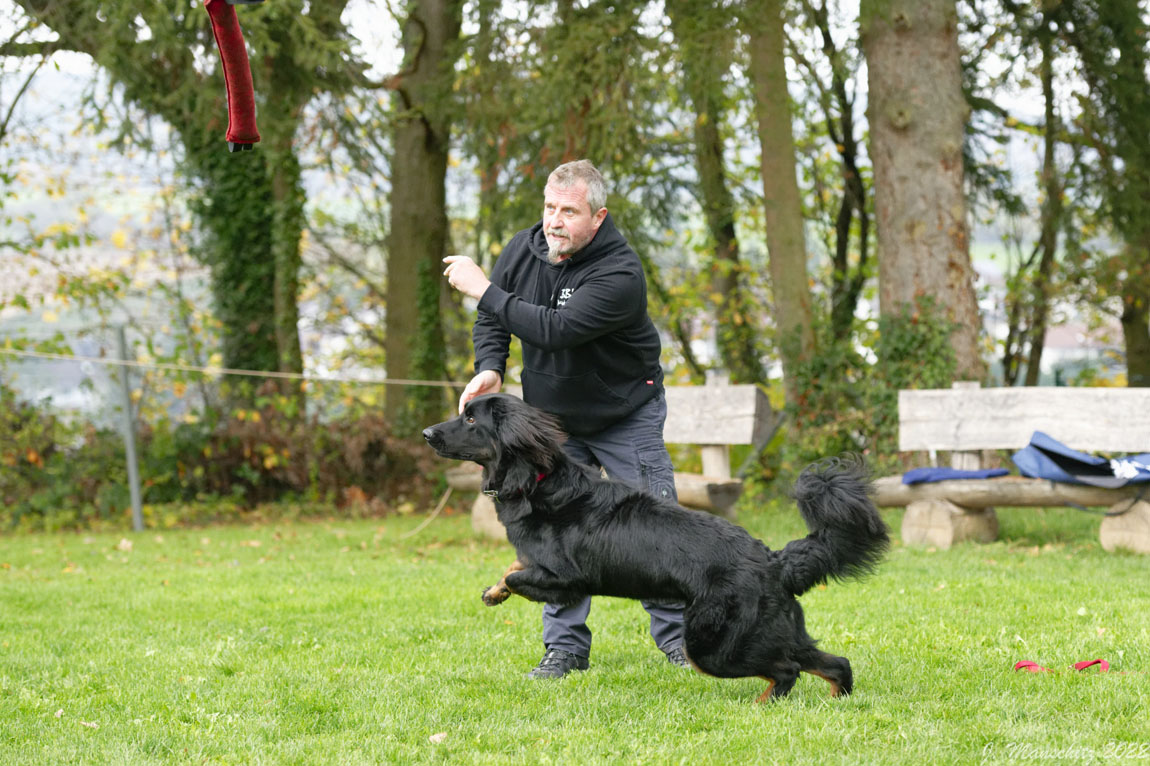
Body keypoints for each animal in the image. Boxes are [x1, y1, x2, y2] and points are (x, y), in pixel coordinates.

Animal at [423, 393, 887, 699]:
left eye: (470, 419)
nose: (427, 433)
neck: (536, 480)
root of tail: (774, 561)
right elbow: (511, 568)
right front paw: (494, 591)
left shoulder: (568, 580)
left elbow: (521, 575)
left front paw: (502, 589)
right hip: (773, 632)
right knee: (834, 664)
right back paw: (834, 700)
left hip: (712, 645)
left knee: (787, 669)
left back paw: (764, 704)